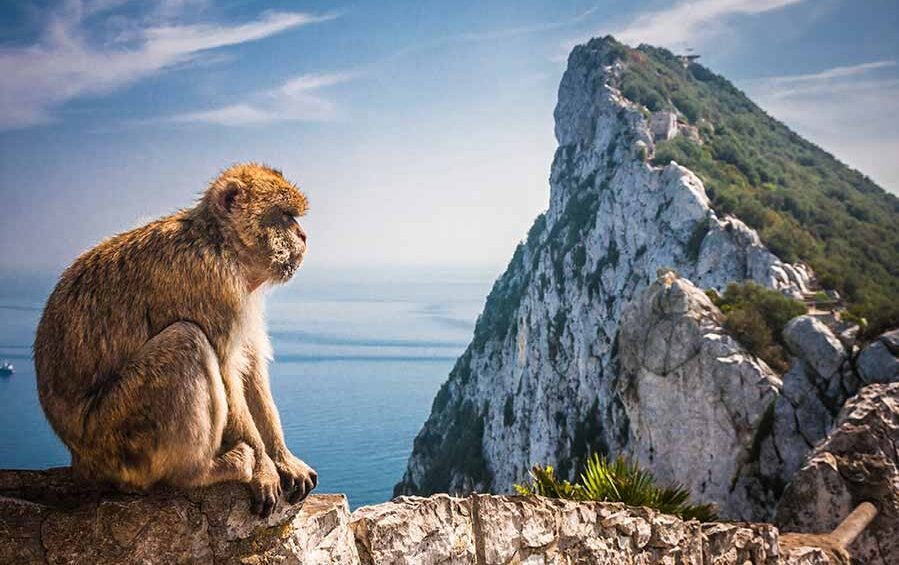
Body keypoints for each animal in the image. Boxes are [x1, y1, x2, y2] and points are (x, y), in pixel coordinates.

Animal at [33, 163, 316, 517]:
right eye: (283, 216)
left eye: (294, 217)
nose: (303, 235)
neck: (220, 243)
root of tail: (79, 460)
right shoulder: (214, 285)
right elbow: (227, 373)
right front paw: (264, 468)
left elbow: (250, 369)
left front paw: (283, 458)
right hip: (116, 437)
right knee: (186, 340)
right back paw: (201, 472)